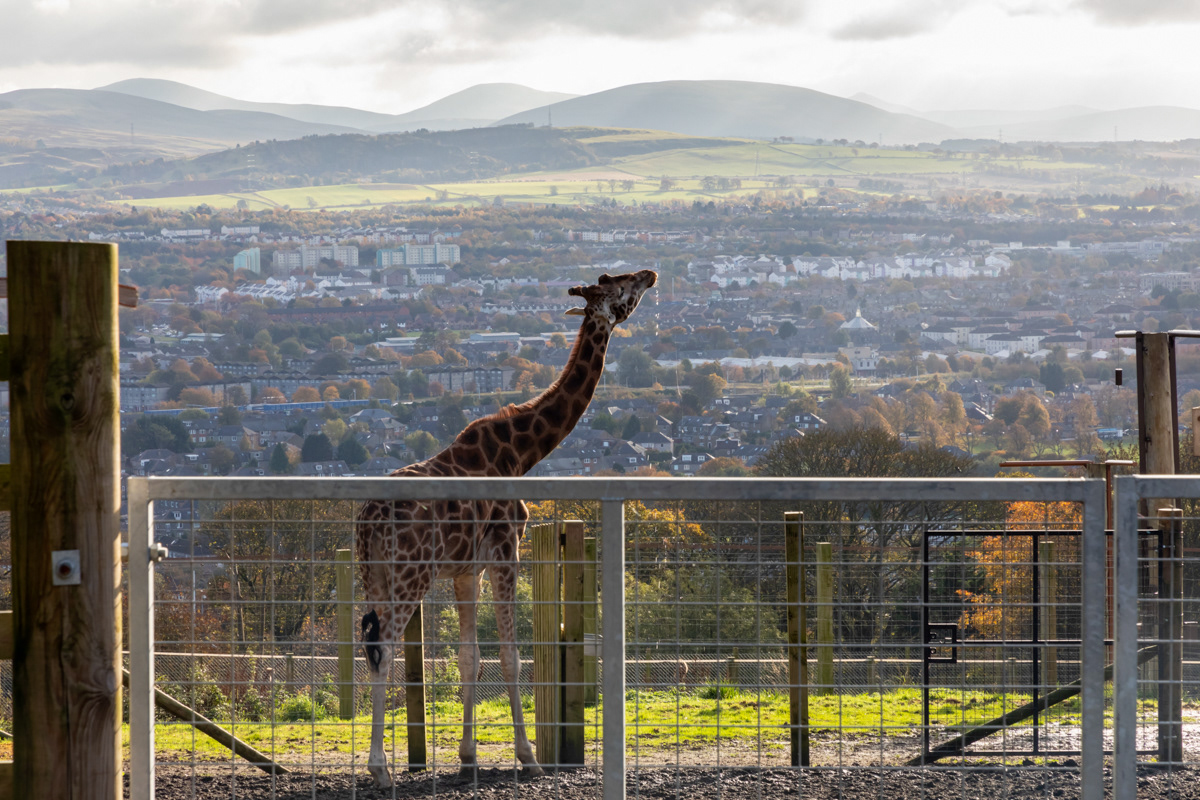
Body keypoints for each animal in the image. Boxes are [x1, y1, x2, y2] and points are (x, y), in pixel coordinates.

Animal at [356, 269, 657, 787]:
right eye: (620, 288)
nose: (650, 275)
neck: (521, 453)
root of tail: (368, 519)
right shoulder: (505, 552)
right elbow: (513, 658)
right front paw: (528, 756)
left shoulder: (465, 571)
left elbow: (469, 659)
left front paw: (468, 758)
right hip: (409, 576)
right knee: (386, 650)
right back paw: (380, 770)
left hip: (373, 575)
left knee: (372, 648)